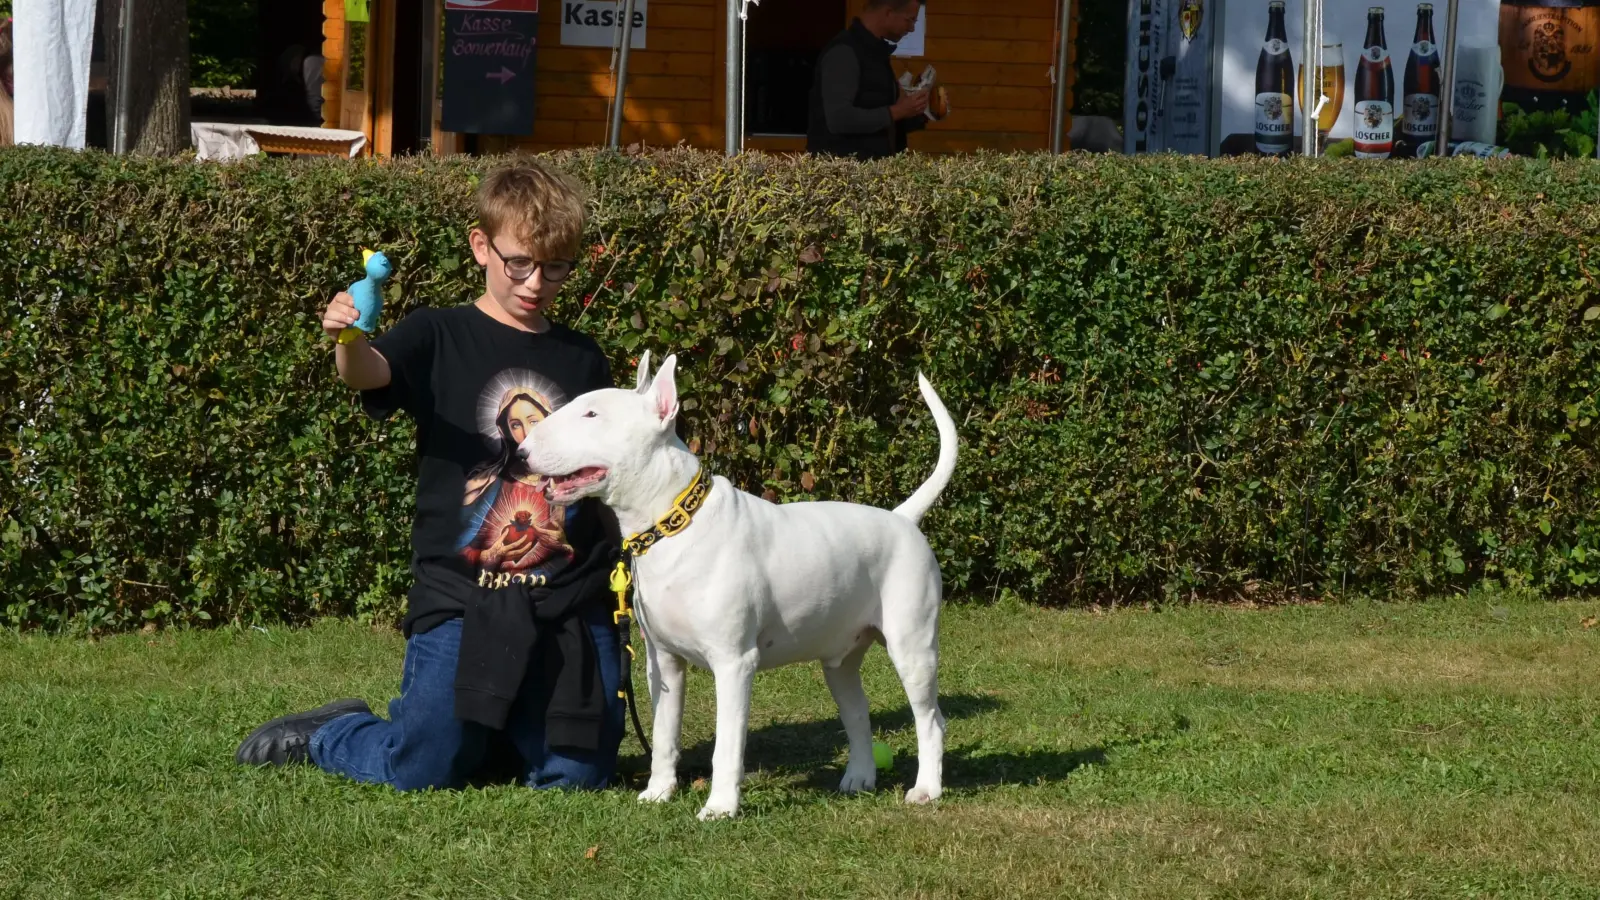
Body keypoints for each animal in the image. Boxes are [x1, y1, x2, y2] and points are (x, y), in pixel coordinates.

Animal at [518, 350, 953, 819]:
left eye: (592, 413)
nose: (520, 452)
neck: (675, 525)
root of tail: (903, 518)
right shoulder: (663, 663)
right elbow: (664, 734)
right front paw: (659, 791)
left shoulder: (733, 663)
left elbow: (727, 743)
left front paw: (720, 807)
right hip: (840, 659)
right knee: (858, 713)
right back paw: (858, 778)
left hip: (913, 646)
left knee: (930, 720)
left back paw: (926, 788)